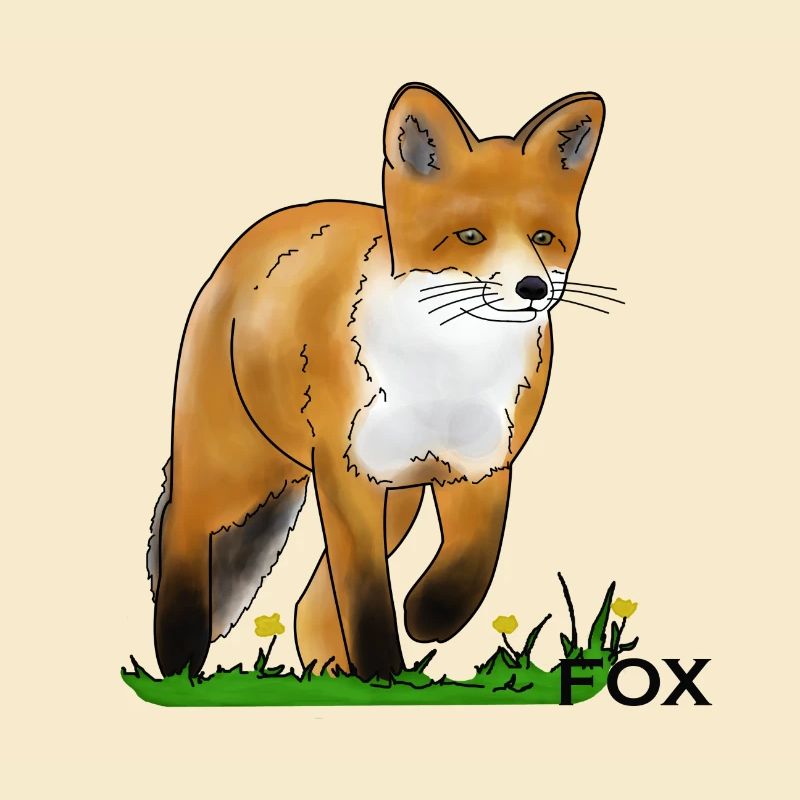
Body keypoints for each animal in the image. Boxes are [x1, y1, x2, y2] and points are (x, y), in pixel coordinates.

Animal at [147, 82, 606, 680]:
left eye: (544, 236)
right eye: (470, 235)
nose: (534, 288)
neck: (445, 375)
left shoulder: (482, 466)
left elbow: (471, 567)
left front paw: (428, 617)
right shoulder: (348, 476)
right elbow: (365, 599)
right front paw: (387, 671)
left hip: (398, 499)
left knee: (309, 606)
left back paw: (329, 677)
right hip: (237, 469)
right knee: (184, 527)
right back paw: (178, 655)